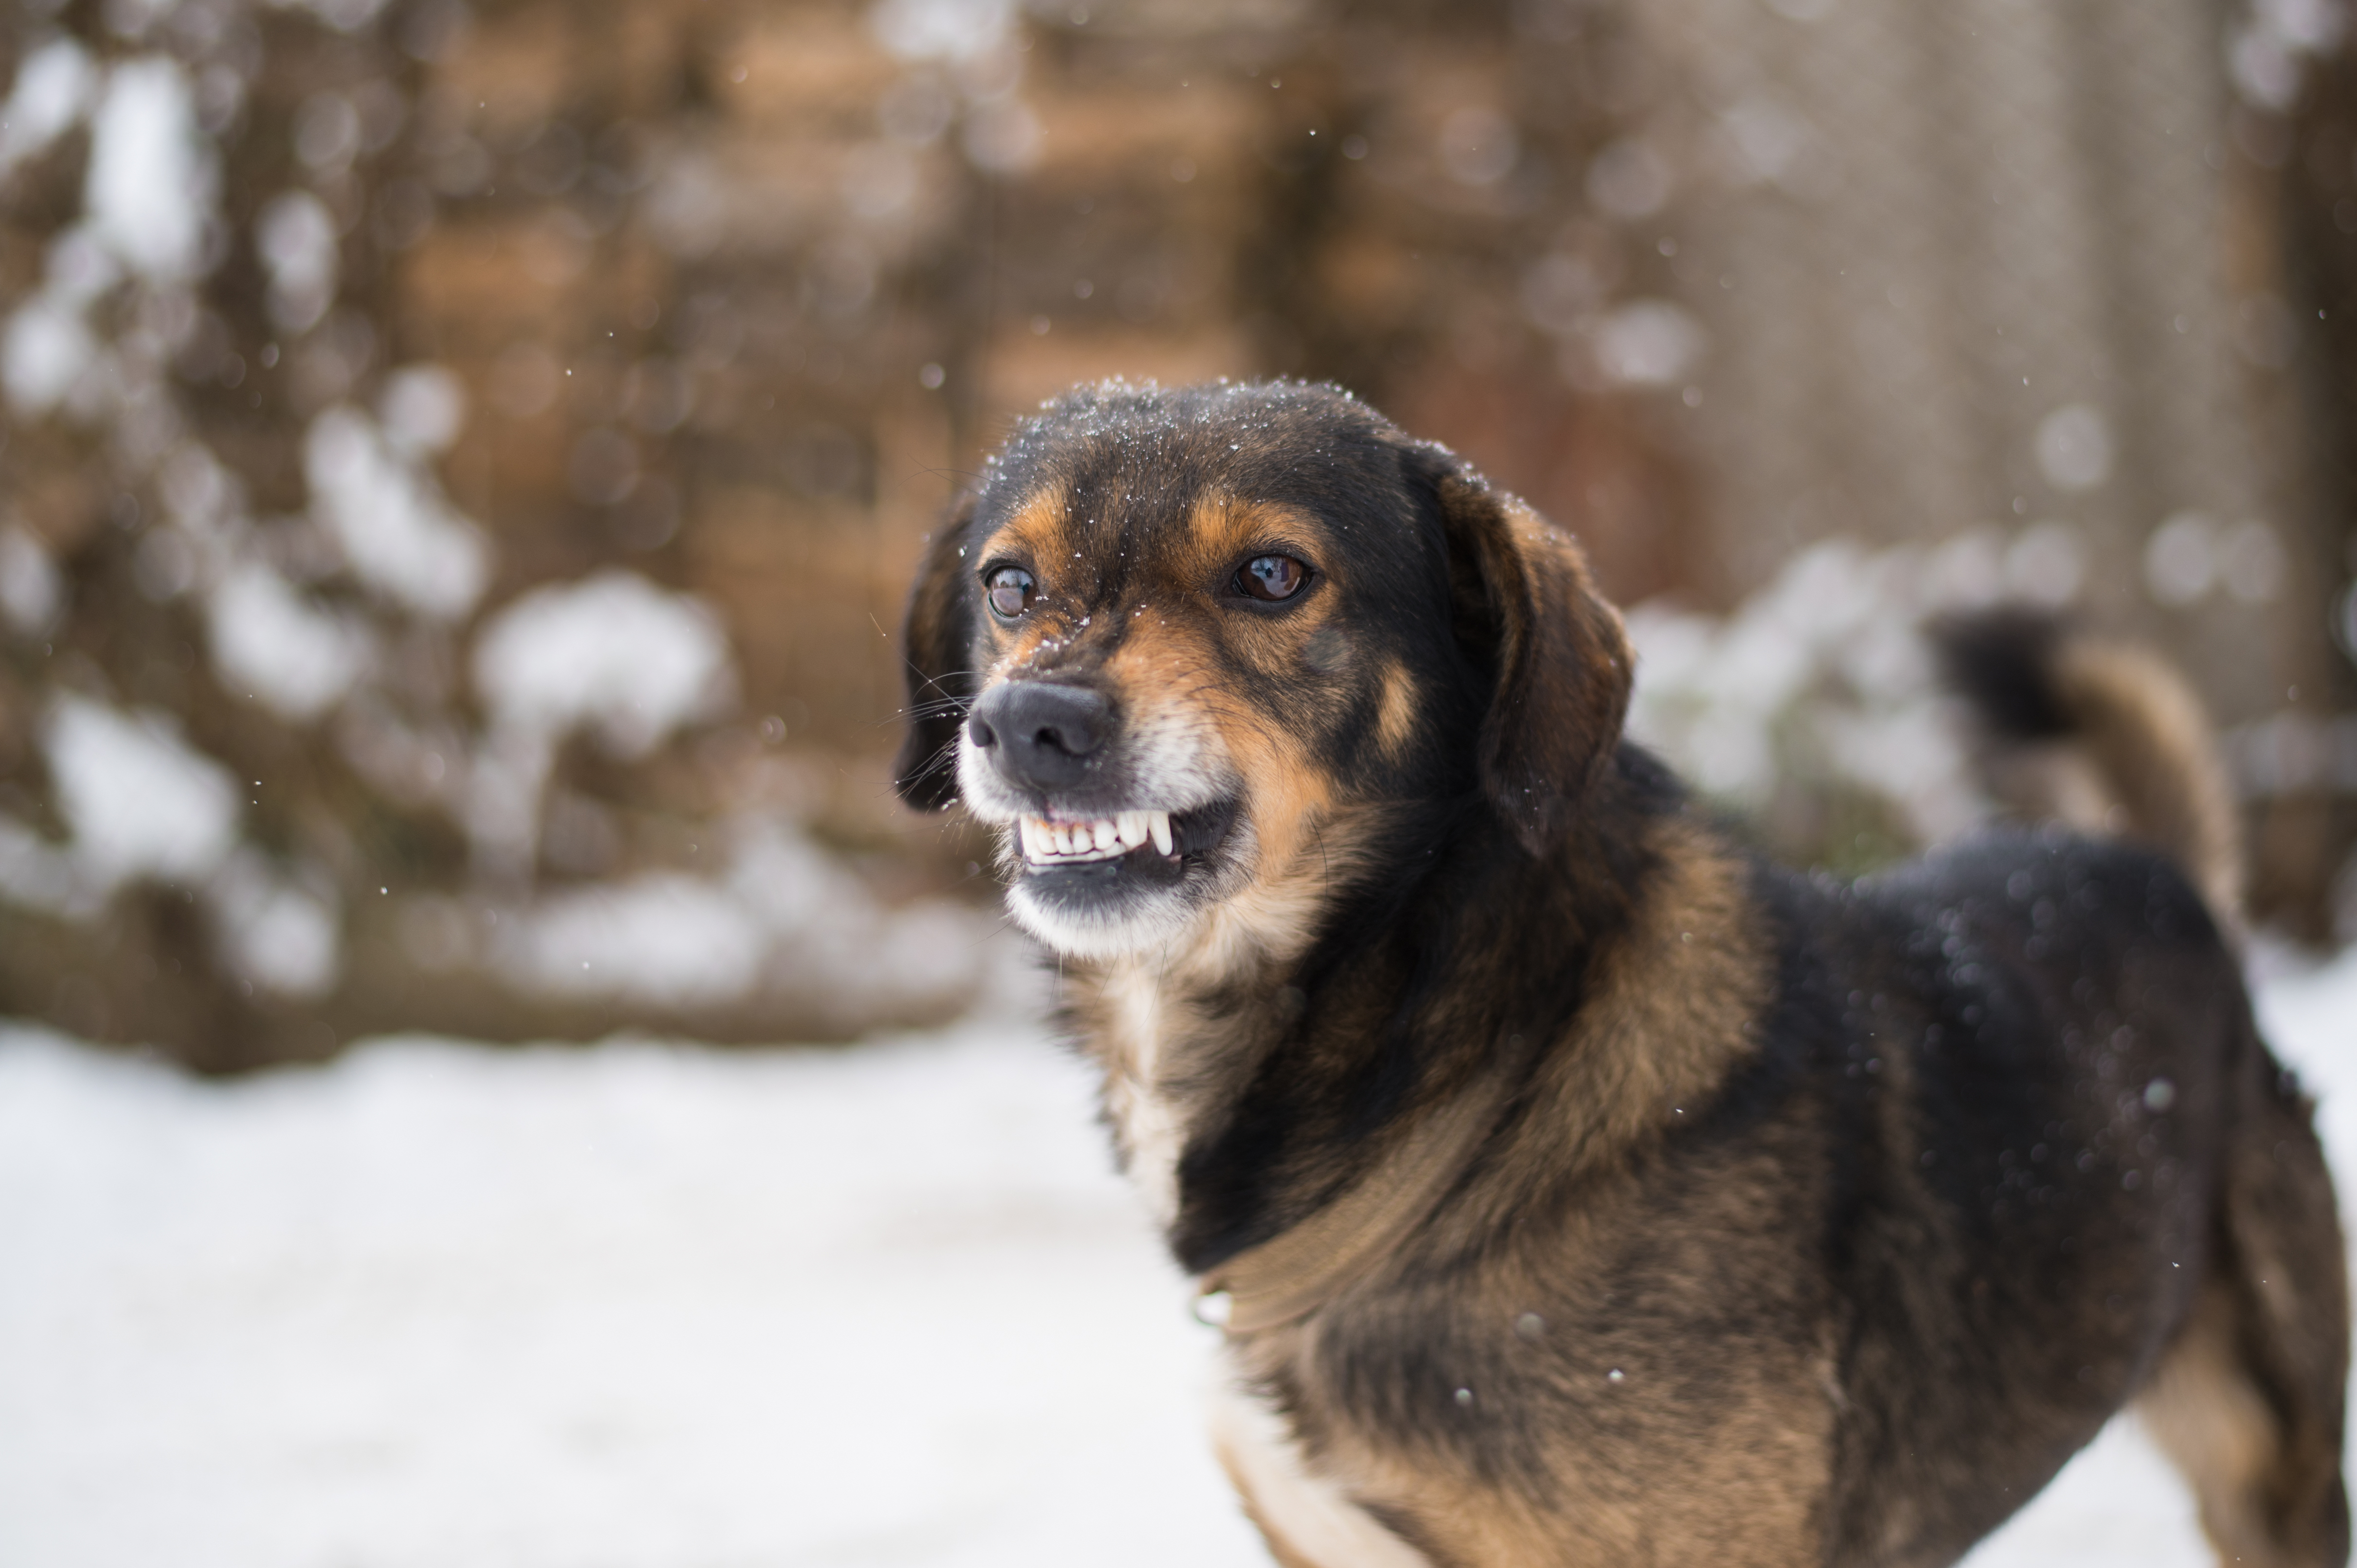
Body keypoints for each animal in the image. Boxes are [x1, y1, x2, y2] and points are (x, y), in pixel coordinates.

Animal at [891, 379, 2347, 1566]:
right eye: (1009, 587)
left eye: (1269, 573)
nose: (1028, 723)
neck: (1459, 1084)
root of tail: (2149, 870)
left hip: (2268, 1465)